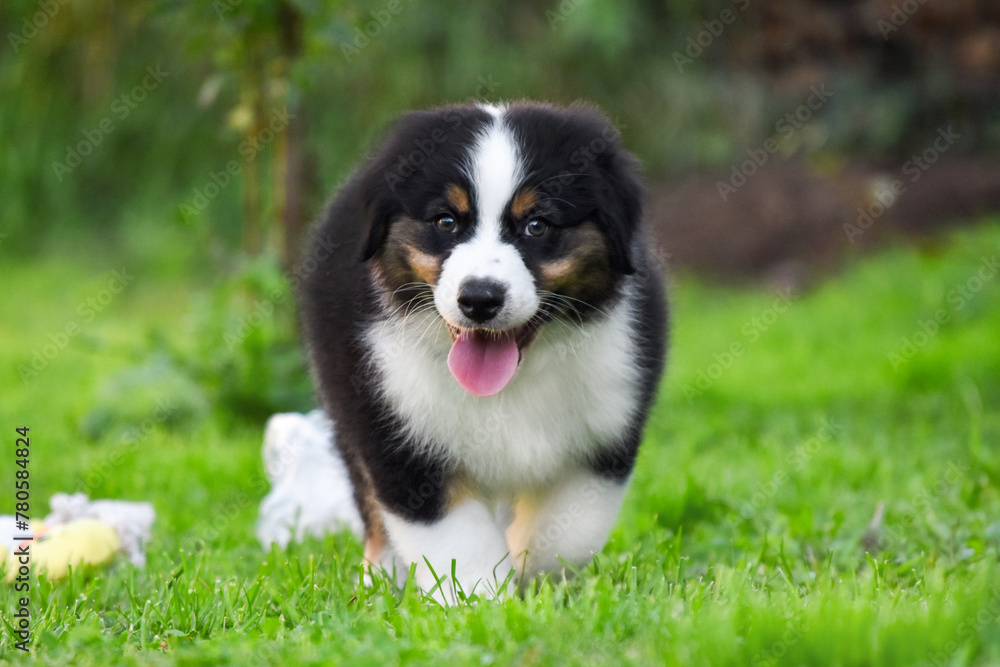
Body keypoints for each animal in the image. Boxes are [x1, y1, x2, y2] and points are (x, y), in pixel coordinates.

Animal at [300, 100, 668, 604]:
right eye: (446, 221)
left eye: (537, 225)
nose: (479, 298)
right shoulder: (396, 432)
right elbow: (455, 538)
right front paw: (481, 603)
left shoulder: (607, 429)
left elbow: (567, 532)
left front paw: (528, 579)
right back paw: (381, 579)